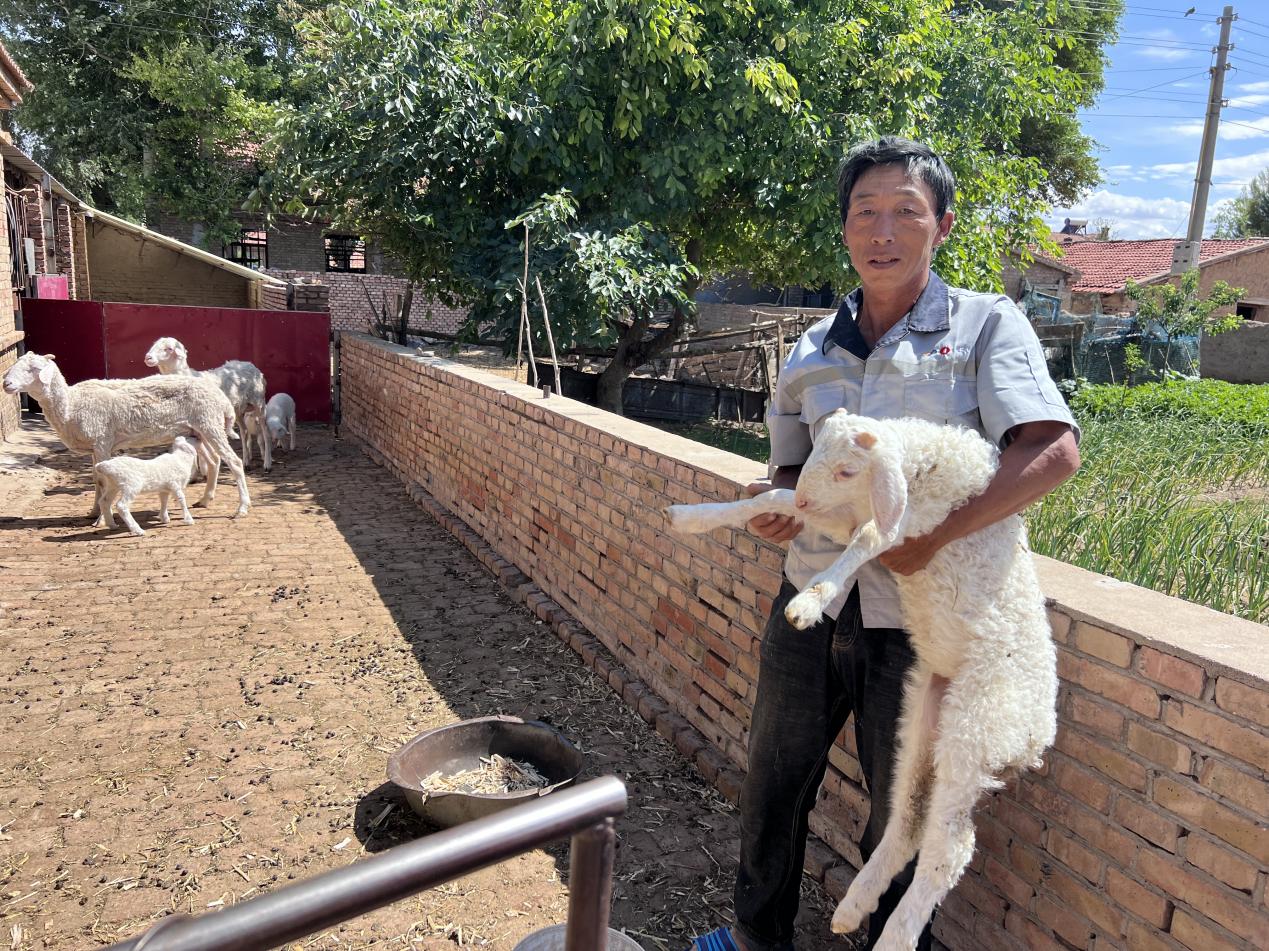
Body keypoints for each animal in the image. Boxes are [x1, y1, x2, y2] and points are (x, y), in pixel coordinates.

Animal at [2, 350, 249, 523]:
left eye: (33, 369)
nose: (6, 383)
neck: (71, 405)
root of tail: (221, 396)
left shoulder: (102, 441)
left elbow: (102, 481)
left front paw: (102, 519)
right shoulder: (95, 447)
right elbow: (95, 479)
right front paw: (93, 512)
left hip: (210, 424)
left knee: (234, 462)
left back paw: (242, 508)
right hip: (198, 429)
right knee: (215, 461)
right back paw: (205, 499)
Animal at [142, 340, 269, 474]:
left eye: (169, 349)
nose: (148, 357)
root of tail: (251, 365)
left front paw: (205, 469)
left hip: (259, 403)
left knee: (265, 431)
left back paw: (267, 462)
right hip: (238, 409)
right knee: (244, 431)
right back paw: (246, 461)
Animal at [664, 408, 1060, 949]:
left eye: (848, 470)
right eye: (813, 451)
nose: (806, 498)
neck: (923, 464)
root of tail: (1038, 737)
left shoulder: (911, 523)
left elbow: (866, 540)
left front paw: (808, 604)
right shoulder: (846, 512)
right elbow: (773, 501)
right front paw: (688, 517)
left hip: (977, 731)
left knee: (951, 848)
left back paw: (895, 935)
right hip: (922, 720)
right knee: (907, 824)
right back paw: (852, 908)